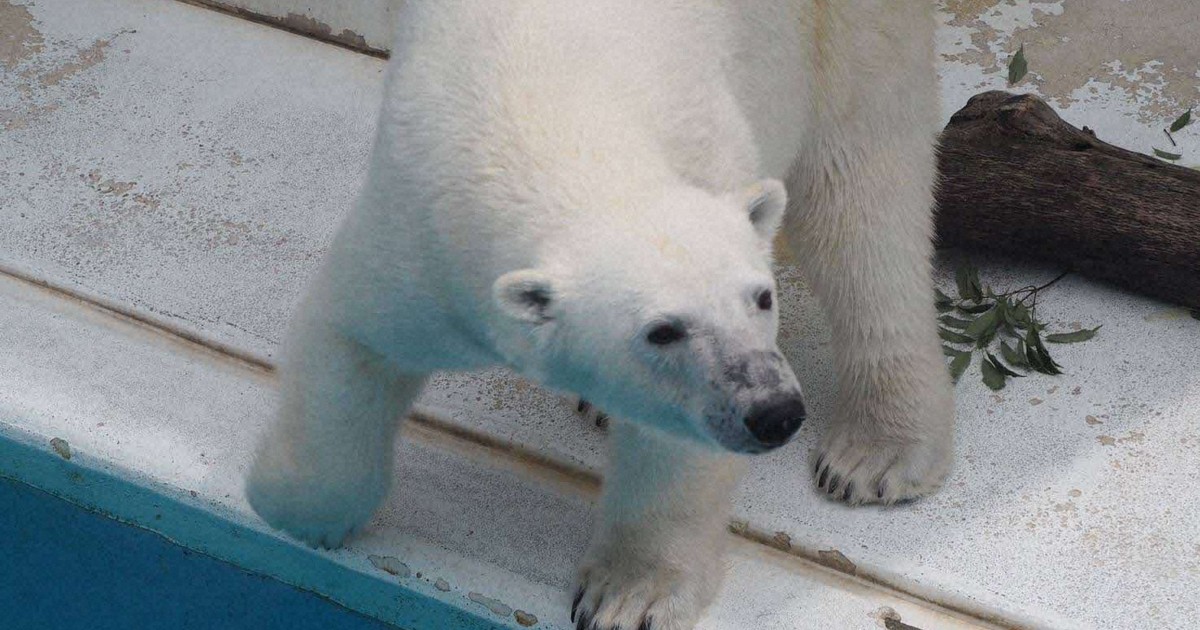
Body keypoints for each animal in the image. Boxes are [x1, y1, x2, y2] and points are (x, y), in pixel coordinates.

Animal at [244, 1, 955, 628]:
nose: (774, 412)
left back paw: (876, 452)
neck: (550, 125)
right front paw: (293, 511)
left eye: (761, 298)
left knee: (860, 199)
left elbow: (677, 450)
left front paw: (627, 596)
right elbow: (353, 338)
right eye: (662, 331)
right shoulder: (421, 233)